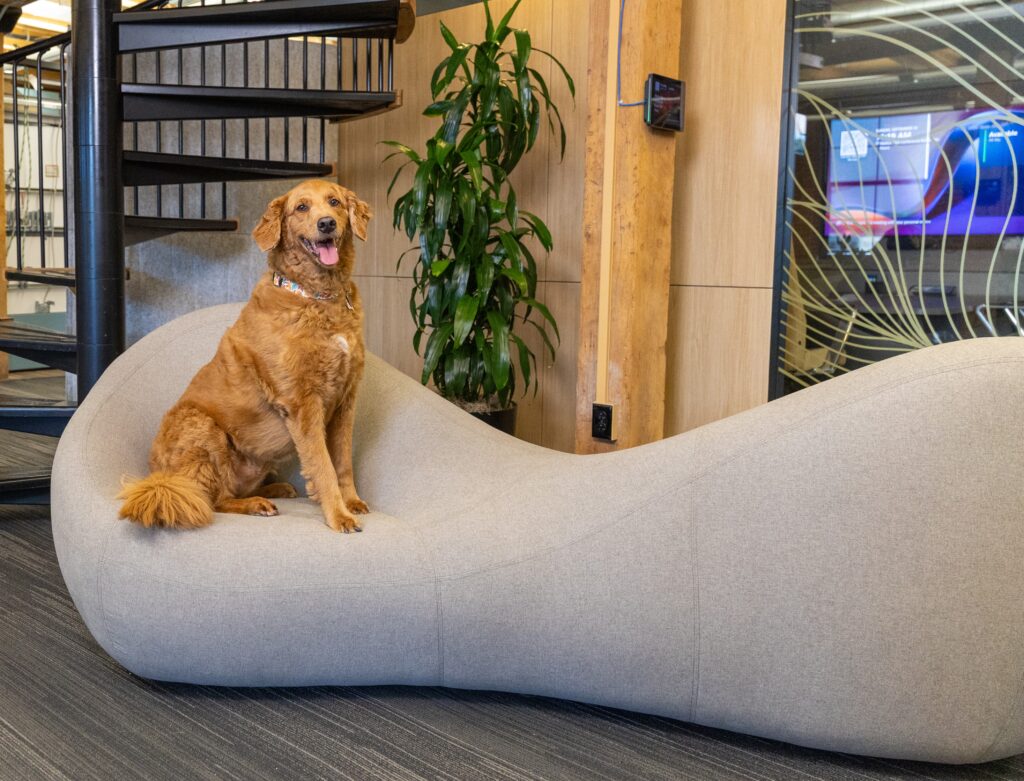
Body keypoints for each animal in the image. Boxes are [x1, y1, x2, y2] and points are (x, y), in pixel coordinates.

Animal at [118, 179, 372, 533]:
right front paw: (339, 515)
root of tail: (158, 478)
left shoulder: (346, 399)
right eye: (302, 207)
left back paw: (275, 488)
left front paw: (352, 501)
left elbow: (343, 461)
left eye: (334, 202)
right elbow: (323, 466)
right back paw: (256, 504)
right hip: (203, 428)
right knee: (214, 500)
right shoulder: (302, 403)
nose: (326, 224)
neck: (319, 297)